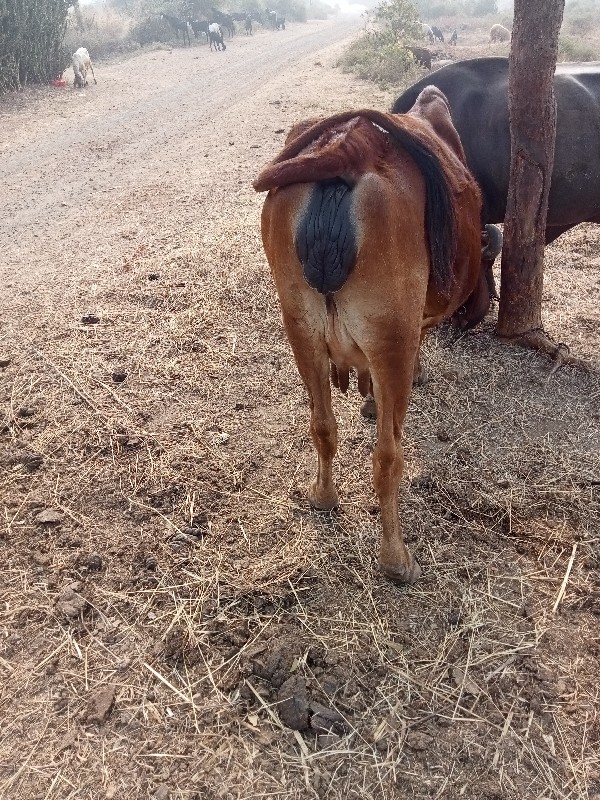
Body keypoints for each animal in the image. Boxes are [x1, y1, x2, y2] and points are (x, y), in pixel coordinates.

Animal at [253, 87, 482, 584]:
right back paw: (395, 558)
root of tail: (349, 151)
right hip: (389, 339)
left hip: (301, 332)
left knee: (322, 425)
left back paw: (323, 496)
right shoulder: (407, 334)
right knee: (387, 458)